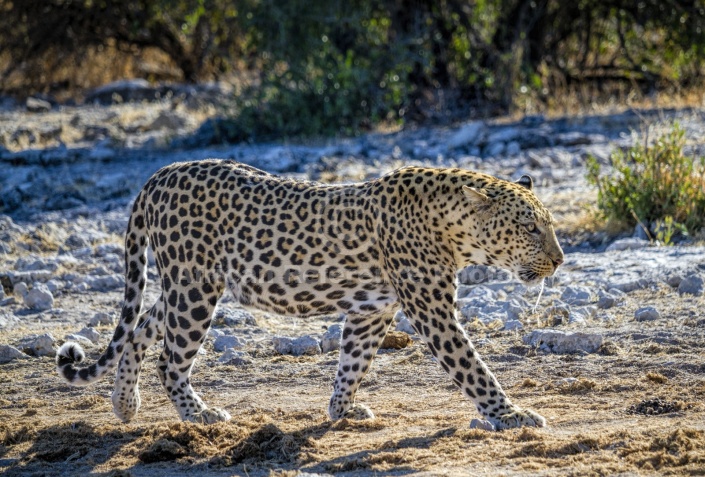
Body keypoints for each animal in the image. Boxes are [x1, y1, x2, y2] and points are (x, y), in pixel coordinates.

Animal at [55, 158, 564, 430]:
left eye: (549, 225)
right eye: (529, 228)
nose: (560, 260)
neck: (455, 230)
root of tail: (158, 174)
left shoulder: (372, 310)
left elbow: (353, 363)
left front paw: (342, 410)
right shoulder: (431, 310)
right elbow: (474, 369)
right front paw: (514, 415)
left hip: (186, 284)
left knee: (140, 328)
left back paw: (125, 404)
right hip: (194, 288)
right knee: (169, 359)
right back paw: (200, 415)